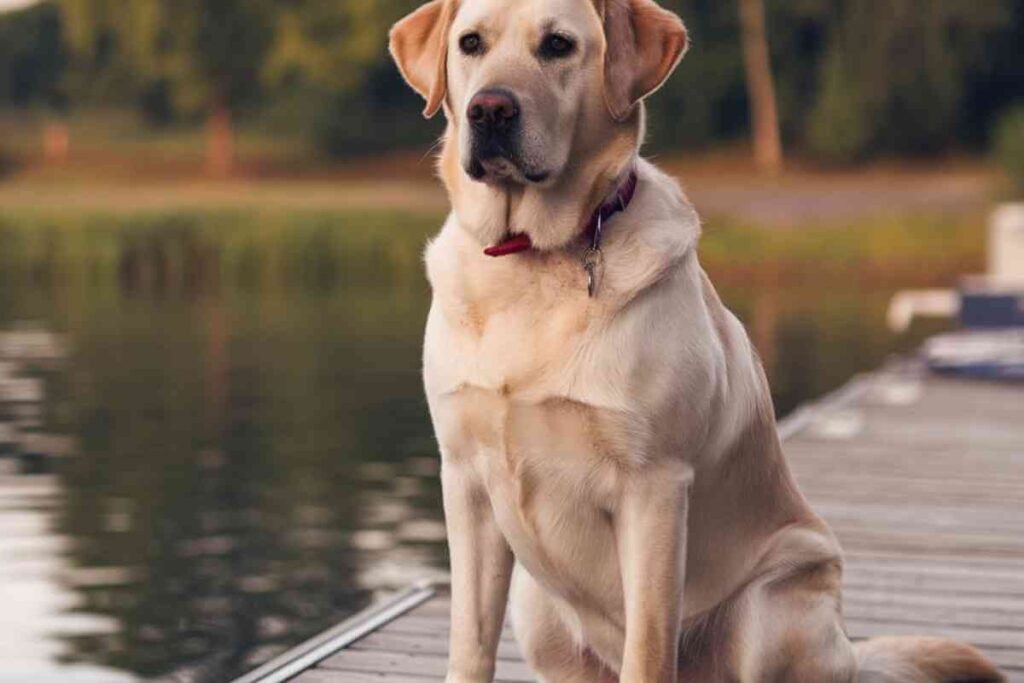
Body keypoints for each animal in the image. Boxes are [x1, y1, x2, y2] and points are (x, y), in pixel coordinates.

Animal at [389, 1, 999, 683]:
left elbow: (650, 648)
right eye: (470, 43)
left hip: (770, 609)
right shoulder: (466, 481)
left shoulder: (653, 487)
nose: (490, 109)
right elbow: (470, 643)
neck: (534, 258)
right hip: (537, 607)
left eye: (558, 45)